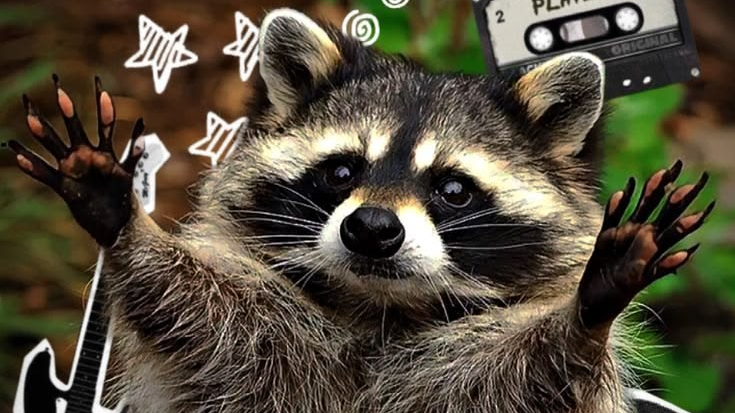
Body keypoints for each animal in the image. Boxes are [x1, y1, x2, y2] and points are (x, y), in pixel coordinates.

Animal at [9, 8, 714, 413]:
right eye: (343, 171)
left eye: (453, 189)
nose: (371, 229)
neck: (380, 307)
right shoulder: (253, 345)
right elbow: (192, 311)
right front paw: (127, 226)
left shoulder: (476, 373)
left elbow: (541, 374)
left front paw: (591, 307)